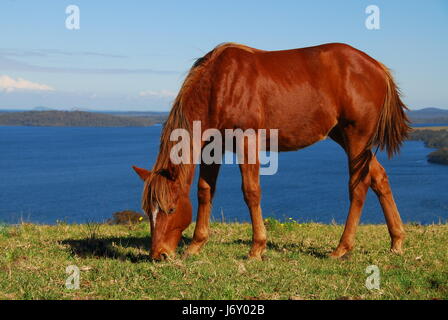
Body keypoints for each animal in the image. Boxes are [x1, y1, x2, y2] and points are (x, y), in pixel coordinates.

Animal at [132, 42, 410, 262]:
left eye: (169, 209)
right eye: (148, 211)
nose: (158, 254)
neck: (220, 84)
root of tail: (377, 67)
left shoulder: (247, 141)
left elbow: (251, 192)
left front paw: (257, 248)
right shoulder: (213, 147)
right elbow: (204, 191)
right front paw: (196, 245)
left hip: (356, 138)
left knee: (358, 186)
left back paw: (342, 247)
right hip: (344, 136)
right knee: (378, 177)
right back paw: (396, 241)